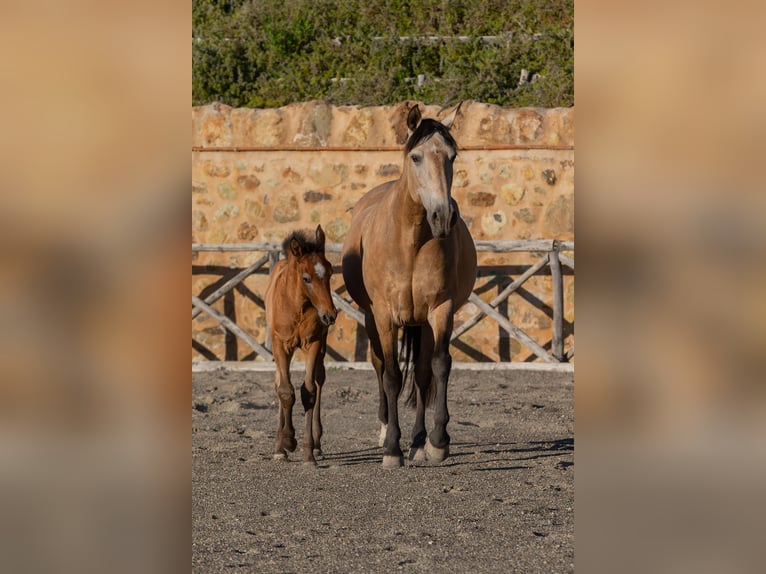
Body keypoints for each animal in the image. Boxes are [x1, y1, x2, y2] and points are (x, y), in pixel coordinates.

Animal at [265, 225, 338, 465]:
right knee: (279, 382)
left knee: (319, 379)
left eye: (331, 273)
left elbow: (309, 391)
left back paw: (316, 445)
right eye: (306, 278)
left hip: (322, 346)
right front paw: (286, 441)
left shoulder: (313, 343)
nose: (330, 315)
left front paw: (307, 452)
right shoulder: (280, 345)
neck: (296, 306)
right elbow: (285, 390)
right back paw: (279, 446)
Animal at [341, 103, 477, 468]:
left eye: (452, 156)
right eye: (416, 157)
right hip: (372, 319)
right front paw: (392, 448)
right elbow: (390, 375)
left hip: (421, 322)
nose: (444, 217)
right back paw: (385, 430)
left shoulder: (441, 310)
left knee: (422, 373)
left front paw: (437, 442)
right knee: (380, 367)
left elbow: (439, 366)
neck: (411, 242)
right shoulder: (384, 315)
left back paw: (417, 440)